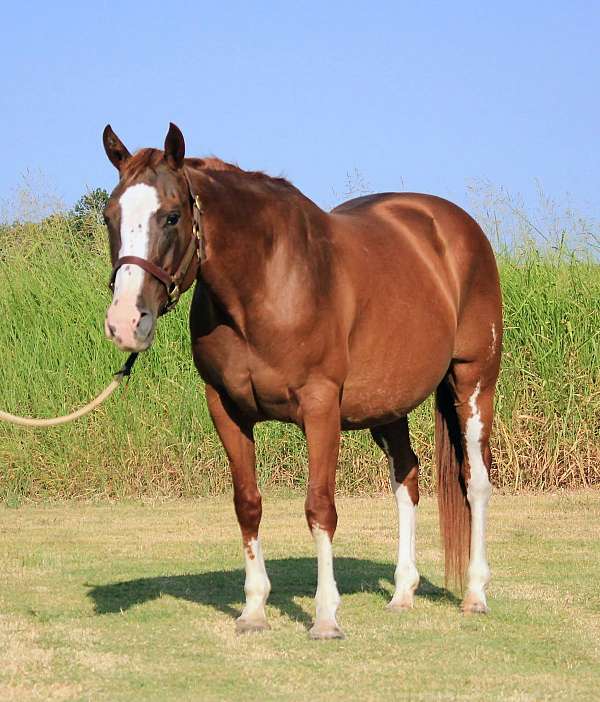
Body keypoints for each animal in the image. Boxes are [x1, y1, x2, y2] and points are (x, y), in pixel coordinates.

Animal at [102, 123, 502, 639]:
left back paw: (475, 594)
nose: (125, 323)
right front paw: (253, 610)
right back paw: (402, 592)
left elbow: (319, 507)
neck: (267, 282)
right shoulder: (225, 408)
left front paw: (326, 617)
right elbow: (248, 504)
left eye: (171, 216)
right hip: (387, 406)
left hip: (473, 381)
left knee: (475, 480)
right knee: (407, 477)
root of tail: (455, 226)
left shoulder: (320, 406)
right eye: (110, 216)